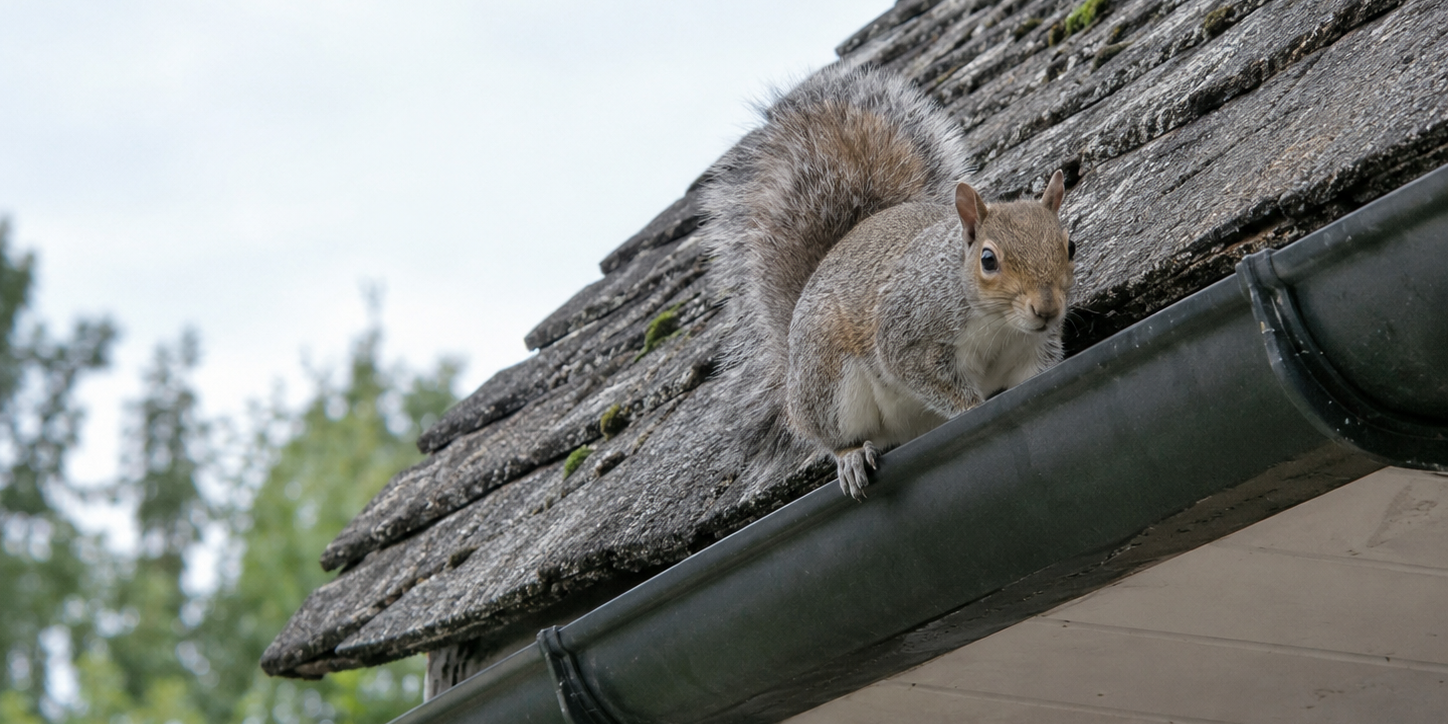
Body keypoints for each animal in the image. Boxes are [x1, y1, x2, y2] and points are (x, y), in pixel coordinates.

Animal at [703, 64, 1075, 500]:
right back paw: (850, 457)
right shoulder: (908, 334)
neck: (999, 325)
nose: (1047, 309)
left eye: (1070, 246)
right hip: (828, 381)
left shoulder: (1031, 353)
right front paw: (970, 408)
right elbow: (922, 374)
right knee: (830, 433)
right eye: (988, 260)